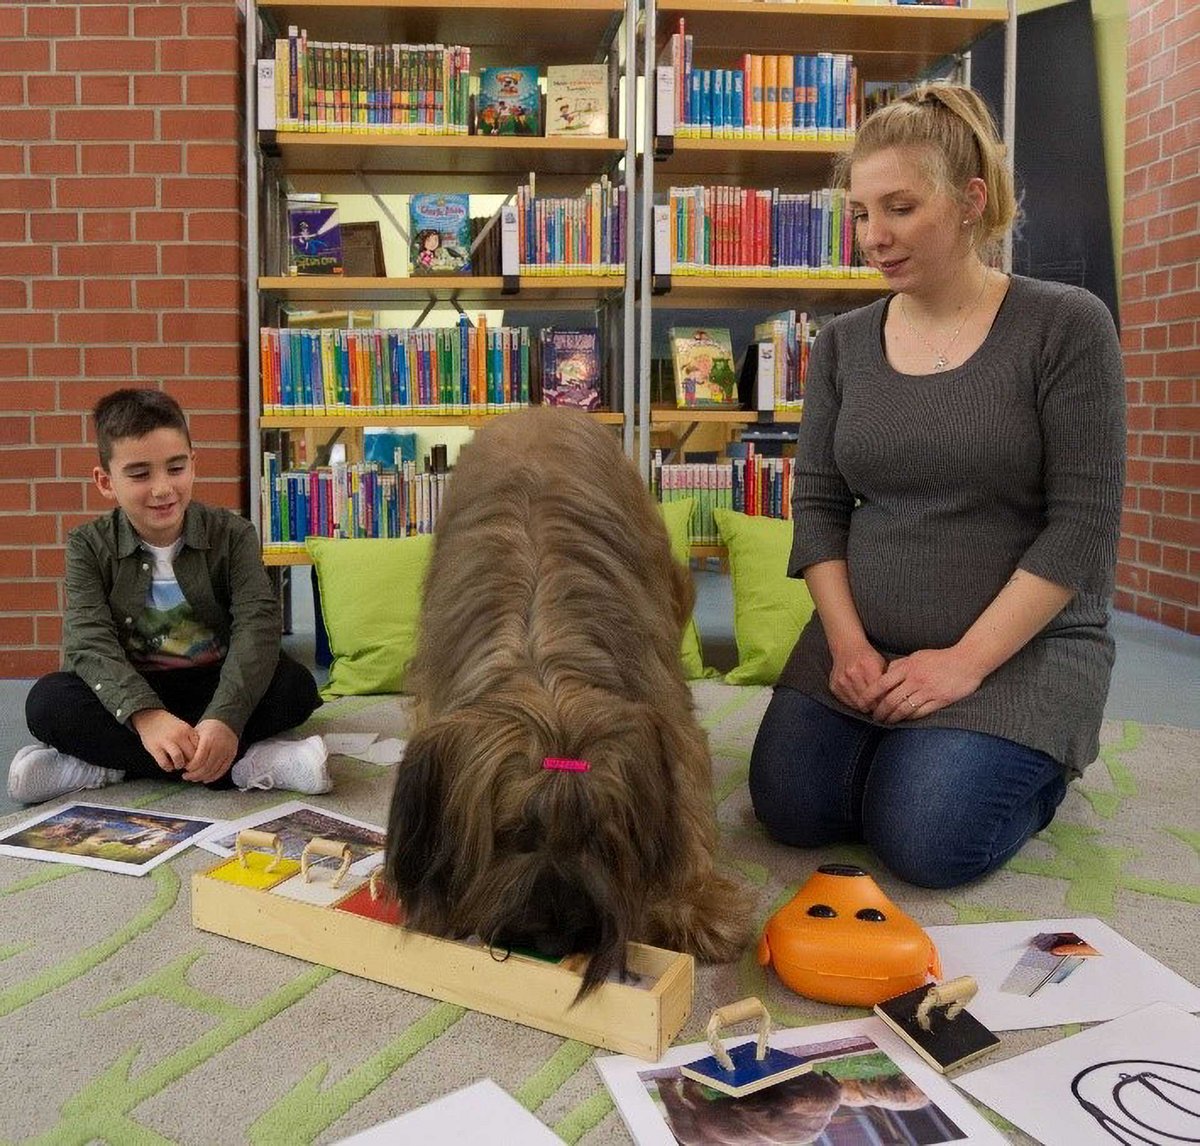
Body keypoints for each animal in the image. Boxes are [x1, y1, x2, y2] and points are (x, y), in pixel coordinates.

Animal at [386, 405, 748, 993]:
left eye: (599, 835)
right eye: (512, 834)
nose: (555, 938)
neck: (543, 659)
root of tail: (540, 409)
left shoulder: (664, 714)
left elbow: (686, 800)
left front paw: (693, 906)